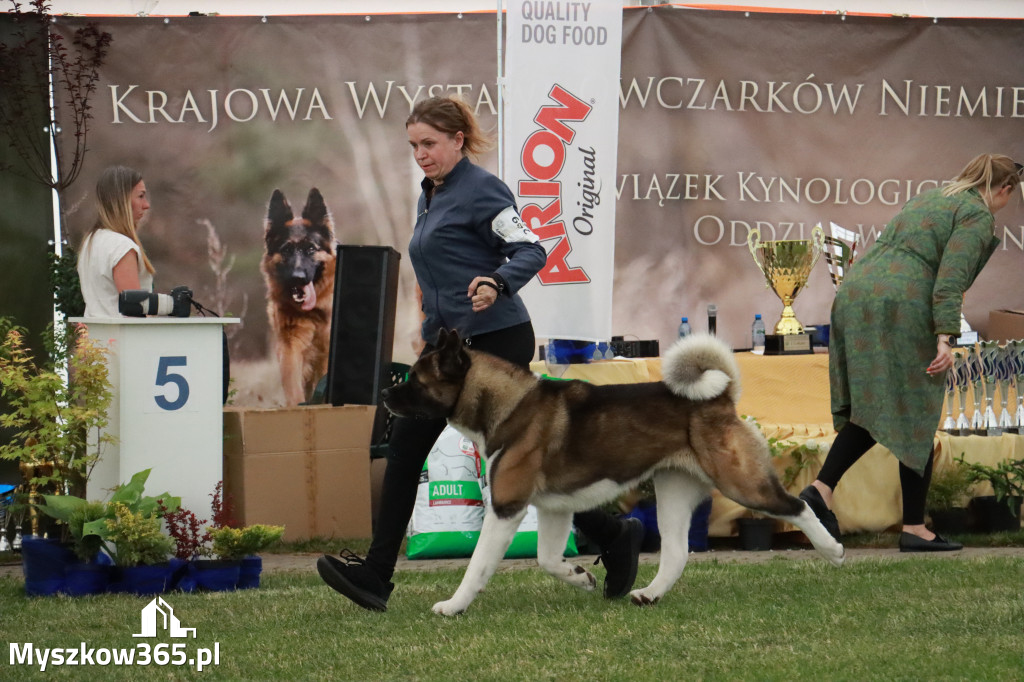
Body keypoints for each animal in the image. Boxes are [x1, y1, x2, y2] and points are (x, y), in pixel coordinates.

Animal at [380, 329, 843, 614]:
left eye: (417, 379)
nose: (385, 392)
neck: (507, 404)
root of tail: (720, 396)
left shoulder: (507, 507)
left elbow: (477, 566)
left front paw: (453, 606)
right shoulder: (553, 510)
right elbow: (548, 559)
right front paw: (582, 577)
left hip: (742, 482)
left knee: (798, 506)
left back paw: (833, 550)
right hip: (673, 491)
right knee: (676, 552)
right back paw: (649, 595)